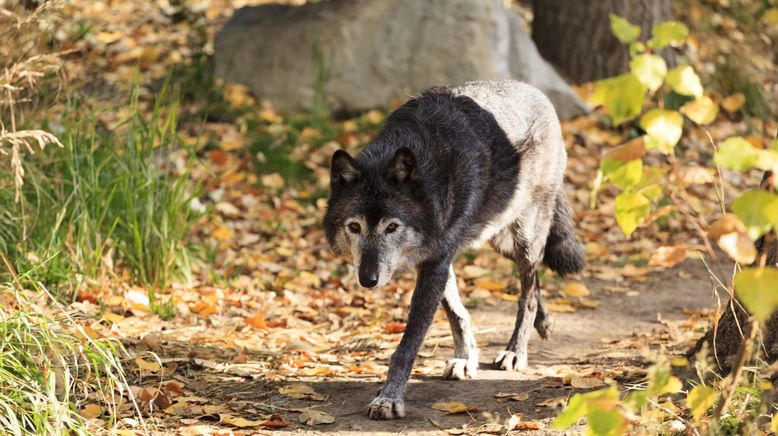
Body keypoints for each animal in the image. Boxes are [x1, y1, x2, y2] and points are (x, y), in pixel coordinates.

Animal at [322, 79, 584, 418]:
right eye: (354, 227)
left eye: (392, 227)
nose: (368, 279)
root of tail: (536, 91)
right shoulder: (437, 259)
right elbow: (456, 312)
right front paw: (465, 357)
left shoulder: (435, 262)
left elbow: (409, 343)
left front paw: (390, 398)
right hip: (499, 239)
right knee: (535, 281)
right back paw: (545, 321)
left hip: (525, 239)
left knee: (526, 294)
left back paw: (515, 351)